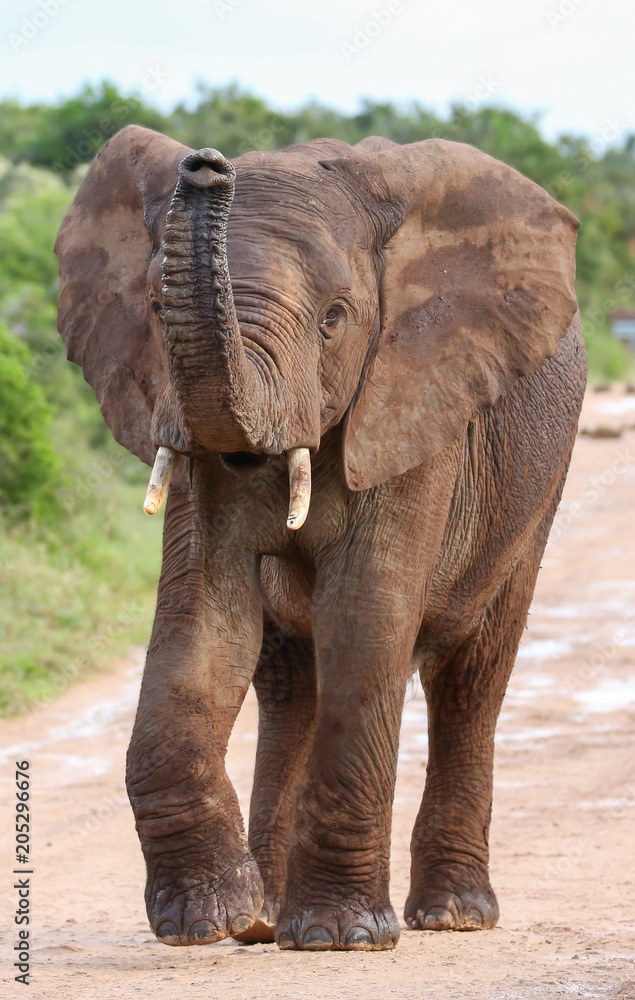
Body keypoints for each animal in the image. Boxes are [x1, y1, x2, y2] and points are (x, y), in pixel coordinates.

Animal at [55, 124, 586, 952]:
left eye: (335, 317)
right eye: (152, 305)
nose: (205, 166)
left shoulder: (413, 399)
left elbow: (364, 618)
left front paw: (343, 937)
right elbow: (201, 621)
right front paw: (201, 924)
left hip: (536, 487)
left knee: (470, 677)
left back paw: (452, 916)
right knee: (287, 678)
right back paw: (264, 922)